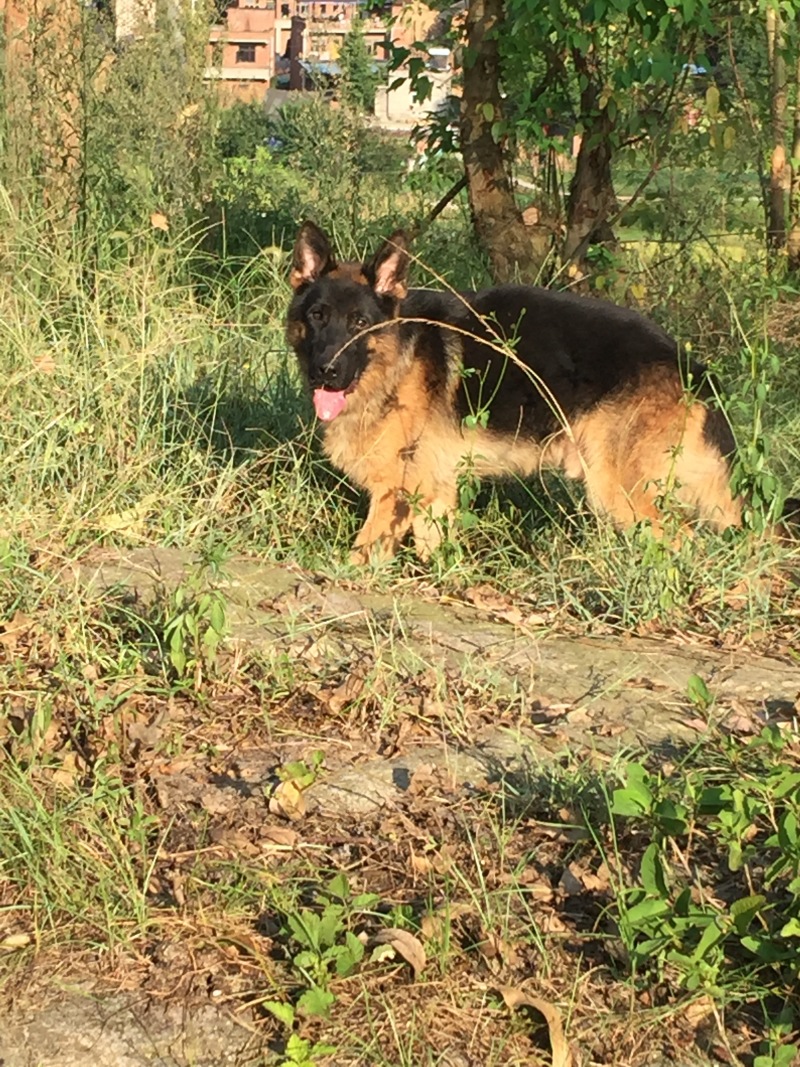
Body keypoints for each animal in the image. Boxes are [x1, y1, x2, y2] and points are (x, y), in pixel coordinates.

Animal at [285, 220, 746, 563]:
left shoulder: (393, 494)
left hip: (619, 492)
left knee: (689, 543)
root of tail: (686, 361)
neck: (399, 355)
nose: (326, 372)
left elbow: (360, 557)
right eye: (318, 316)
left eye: (360, 324)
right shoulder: (434, 492)